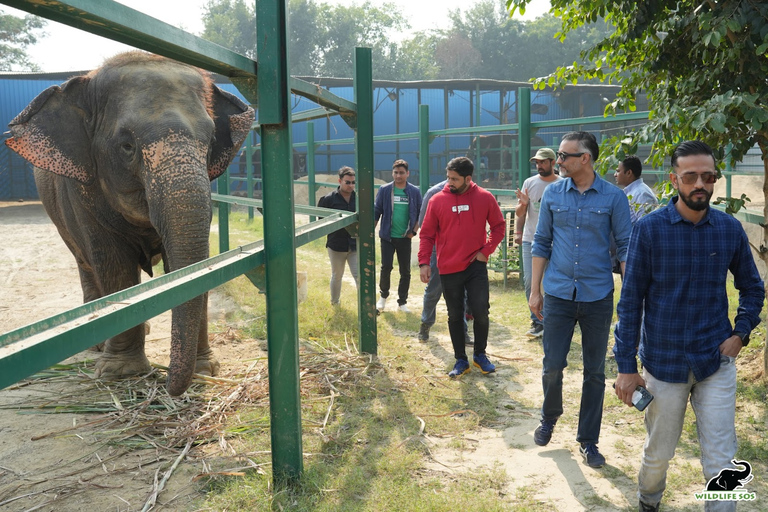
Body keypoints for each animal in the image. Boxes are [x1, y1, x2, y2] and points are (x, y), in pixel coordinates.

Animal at [5, 51, 255, 396]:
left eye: (211, 141)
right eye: (127, 146)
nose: (170, 385)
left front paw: (206, 369)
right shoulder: (82, 194)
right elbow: (115, 266)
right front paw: (120, 373)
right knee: (86, 263)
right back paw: (98, 341)